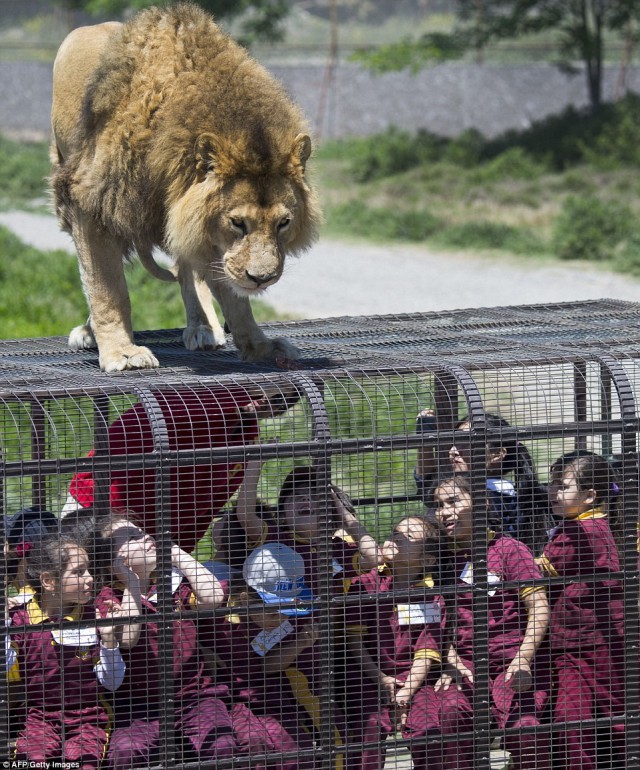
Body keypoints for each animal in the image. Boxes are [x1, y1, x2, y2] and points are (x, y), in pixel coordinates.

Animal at [49, 2, 320, 368]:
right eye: (238, 223)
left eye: (283, 223)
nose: (261, 278)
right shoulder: (90, 202)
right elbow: (107, 287)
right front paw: (122, 351)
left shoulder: (202, 224)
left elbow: (233, 295)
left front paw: (259, 346)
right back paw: (92, 332)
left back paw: (203, 327)